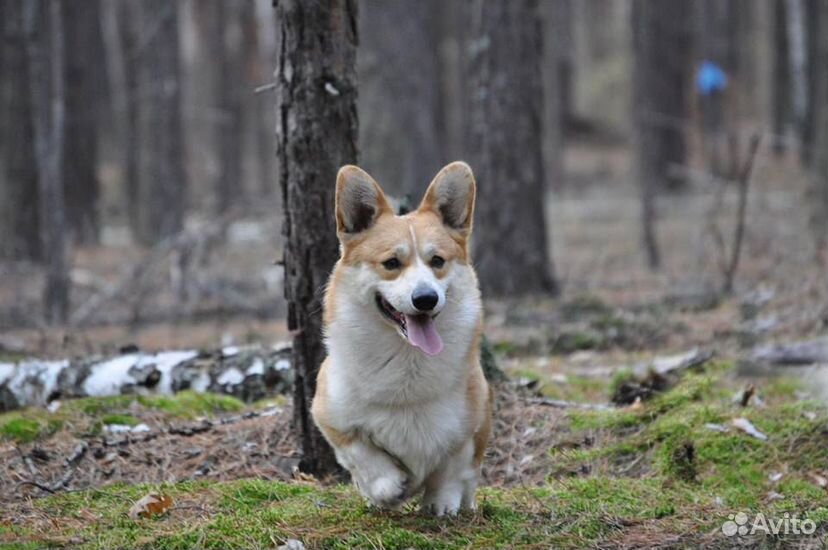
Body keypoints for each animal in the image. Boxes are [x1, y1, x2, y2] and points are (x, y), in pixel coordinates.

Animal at [310, 162, 492, 516]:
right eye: (391, 263)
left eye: (437, 261)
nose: (425, 299)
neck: (408, 361)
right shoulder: (331, 416)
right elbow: (362, 454)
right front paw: (388, 487)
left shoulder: (468, 429)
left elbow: (452, 469)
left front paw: (441, 505)